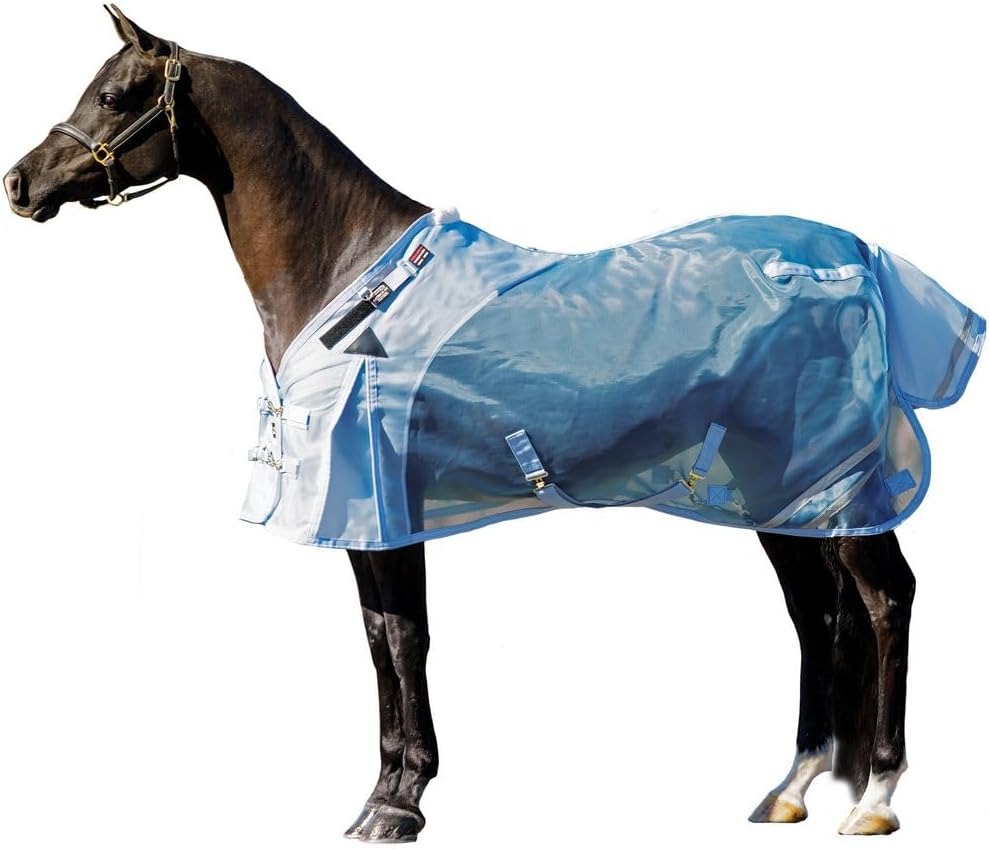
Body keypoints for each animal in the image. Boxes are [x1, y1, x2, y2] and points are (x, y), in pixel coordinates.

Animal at [4, 6, 971, 841]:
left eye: (117, 95)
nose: (21, 181)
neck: (347, 273)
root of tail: (855, 256)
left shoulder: (380, 504)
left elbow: (404, 638)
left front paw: (397, 803)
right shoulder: (372, 514)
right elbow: (379, 639)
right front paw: (389, 789)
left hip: (828, 482)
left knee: (883, 600)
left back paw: (876, 795)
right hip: (783, 488)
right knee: (818, 613)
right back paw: (790, 788)